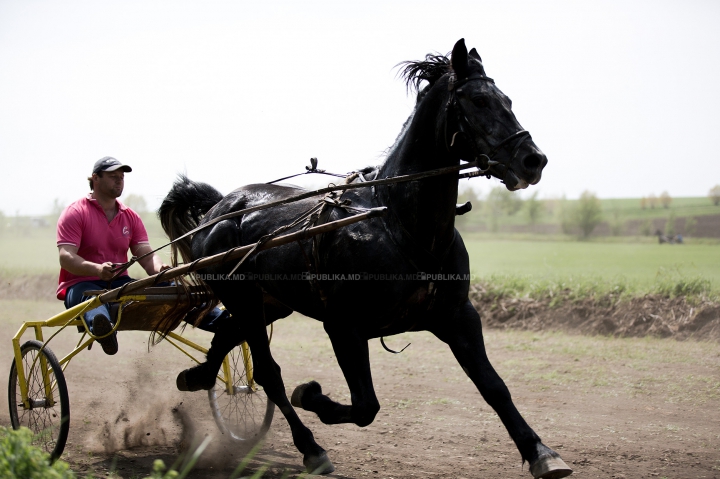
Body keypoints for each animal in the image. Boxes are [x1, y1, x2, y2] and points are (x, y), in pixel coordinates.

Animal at [160, 39, 572, 478]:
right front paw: (312, 395)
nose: (533, 160)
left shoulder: (457, 316)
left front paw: (541, 452)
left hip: (272, 303)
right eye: (479, 100)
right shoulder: (344, 326)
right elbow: (364, 406)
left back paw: (198, 375)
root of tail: (219, 207)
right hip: (246, 300)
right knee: (269, 374)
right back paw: (310, 447)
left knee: (226, 335)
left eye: (507, 100)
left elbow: (494, 387)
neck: (399, 222)